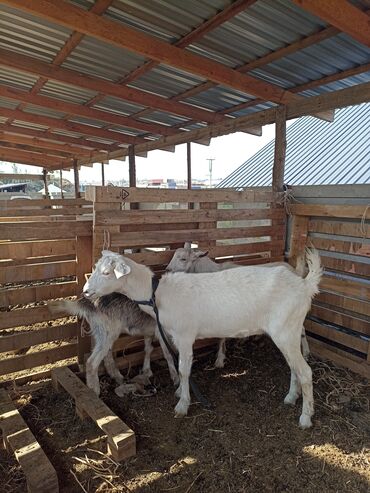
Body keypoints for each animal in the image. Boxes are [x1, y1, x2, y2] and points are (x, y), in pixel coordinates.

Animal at [47, 292, 178, 396]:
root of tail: (88, 302)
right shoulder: (162, 331)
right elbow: (168, 354)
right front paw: (175, 378)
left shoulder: (149, 331)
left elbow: (148, 349)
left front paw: (147, 371)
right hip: (108, 333)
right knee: (91, 362)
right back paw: (94, 390)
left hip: (102, 333)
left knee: (106, 356)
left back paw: (117, 377)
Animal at [167, 242, 310, 366]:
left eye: (183, 259)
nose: (167, 270)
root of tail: (296, 272)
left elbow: (221, 337)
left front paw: (220, 359)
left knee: (302, 329)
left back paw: (306, 353)